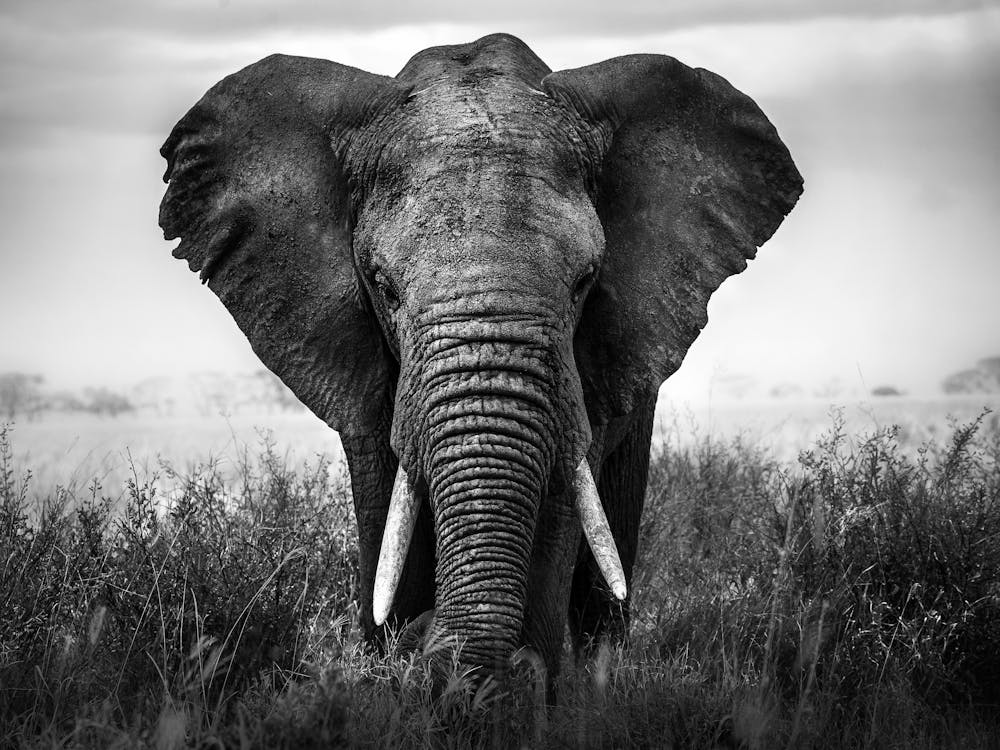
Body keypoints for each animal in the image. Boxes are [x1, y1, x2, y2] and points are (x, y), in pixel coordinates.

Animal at [159, 33, 802, 685]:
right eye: (383, 286)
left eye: (585, 282)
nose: (428, 642)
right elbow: (386, 502)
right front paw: (398, 664)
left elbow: (561, 498)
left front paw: (517, 683)